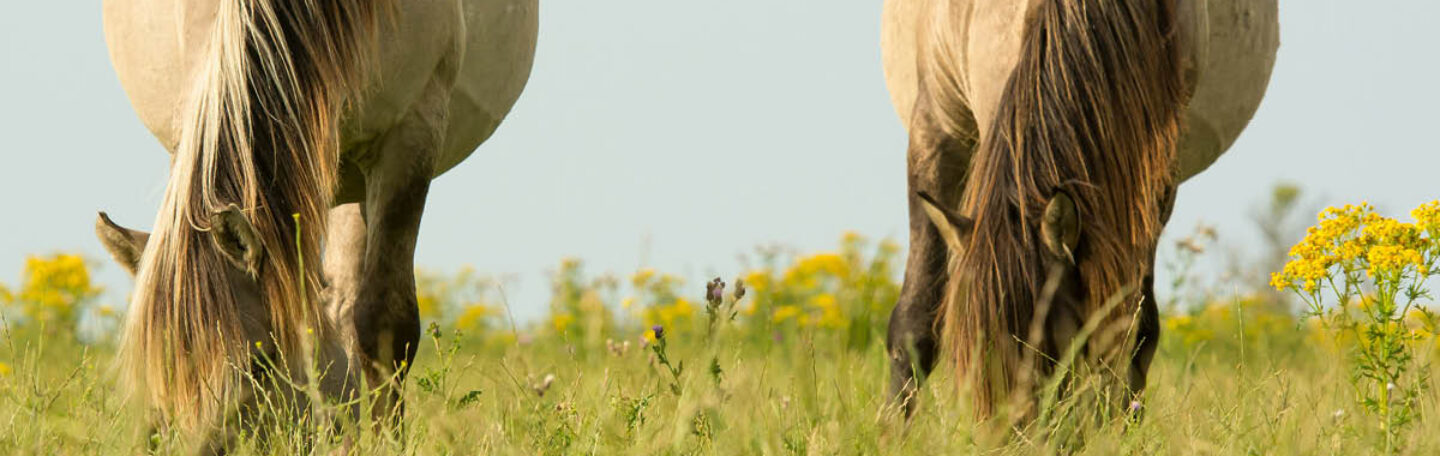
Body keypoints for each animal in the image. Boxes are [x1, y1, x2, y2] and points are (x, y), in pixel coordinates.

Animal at [881, 0, 1278, 420]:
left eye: (1053, 345)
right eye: (970, 348)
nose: (1011, 429)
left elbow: (1129, 329)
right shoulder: (938, 130)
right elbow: (914, 323)